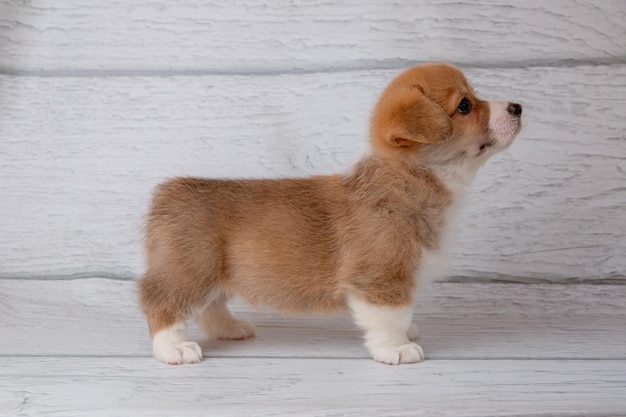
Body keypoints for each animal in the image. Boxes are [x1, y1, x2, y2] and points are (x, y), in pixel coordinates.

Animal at [138, 61, 520, 364]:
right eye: (465, 106)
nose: (517, 106)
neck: (408, 177)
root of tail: (169, 191)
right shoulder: (380, 279)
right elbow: (390, 318)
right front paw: (397, 348)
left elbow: (404, 312)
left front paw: (408, 332)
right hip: (190, 271)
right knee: (161, 302)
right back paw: (174, 349)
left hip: (212, 276)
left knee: (210, 306)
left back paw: (230, 329)